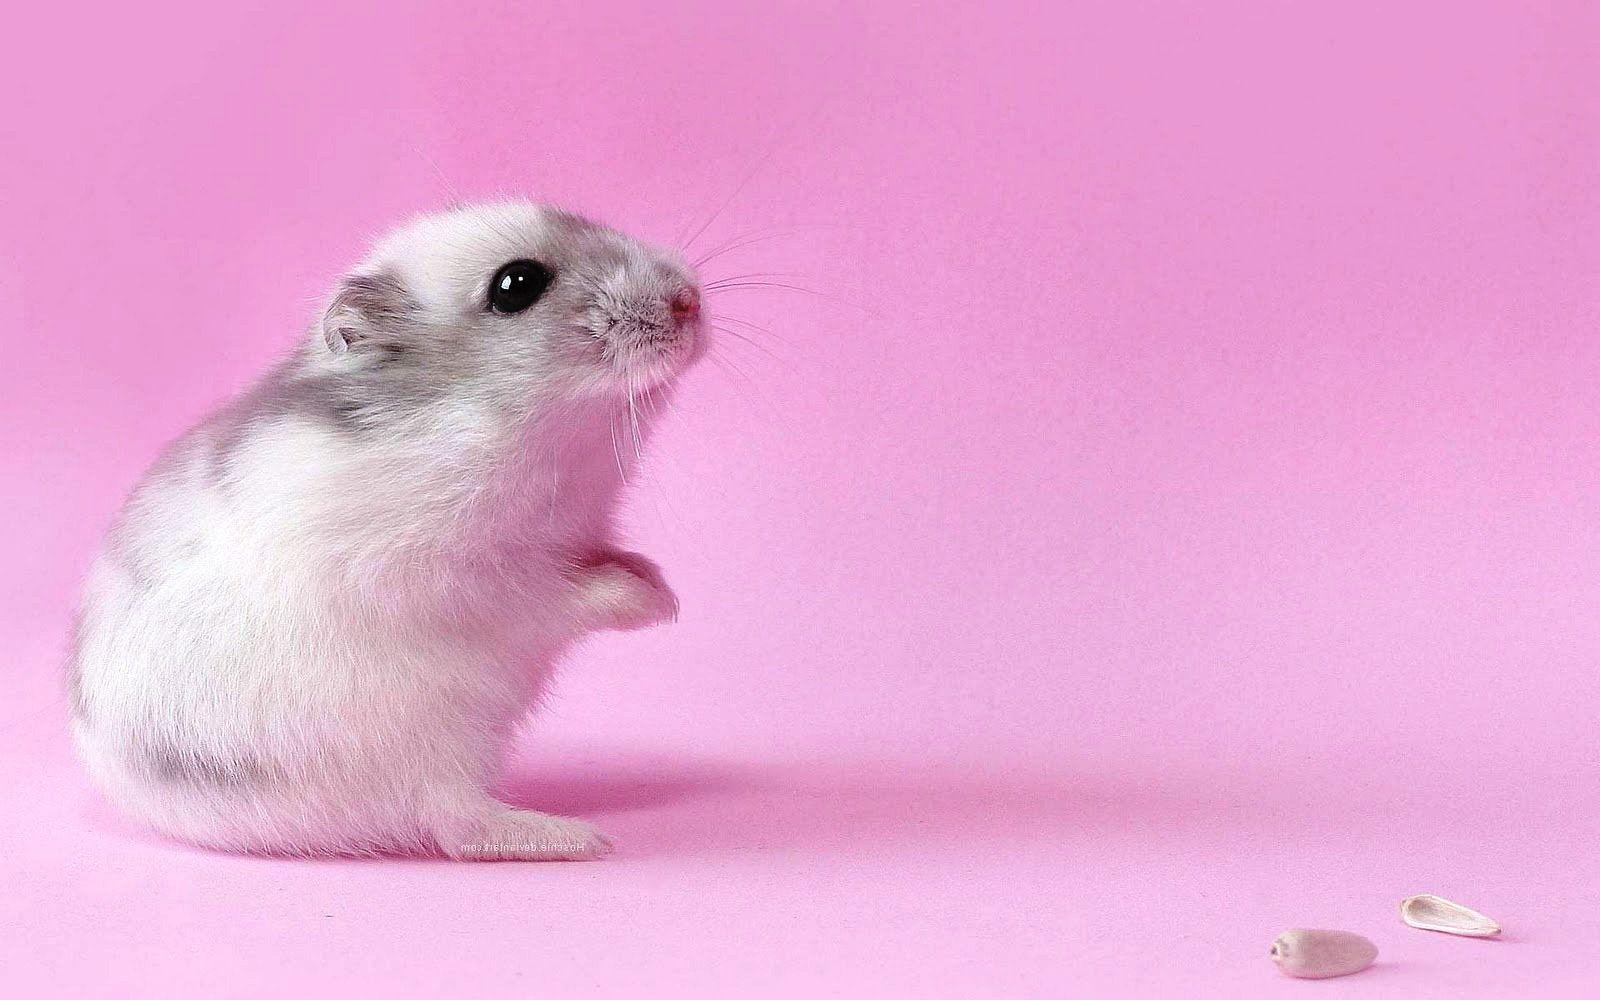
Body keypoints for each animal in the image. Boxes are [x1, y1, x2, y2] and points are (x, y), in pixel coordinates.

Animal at [68, 202, 706, 860]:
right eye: (517, 285)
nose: (689, 300)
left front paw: (662, 584)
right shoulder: (464, 579)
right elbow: (560, 593)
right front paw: (658, 605)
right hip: (426, 753)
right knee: (459, 825)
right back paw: (582, 839)